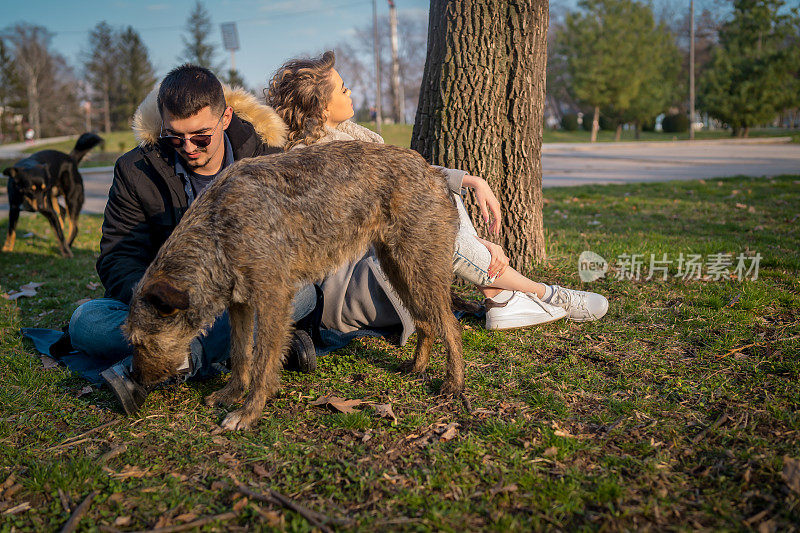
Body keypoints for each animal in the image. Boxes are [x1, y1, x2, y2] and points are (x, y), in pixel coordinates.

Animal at [124, 140, 462, 428]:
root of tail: (434, 172)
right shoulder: (240, 304)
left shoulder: (273, 298)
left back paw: (453, 382)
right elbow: (240, 352)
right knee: (426, 323)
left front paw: (249, 412)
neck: (218, 231)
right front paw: (232, 394)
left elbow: (262, 361)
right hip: (399, 268)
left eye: (142, 342)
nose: (135, 377)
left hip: (420, 266)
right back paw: (417, 367)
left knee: (450, 324)